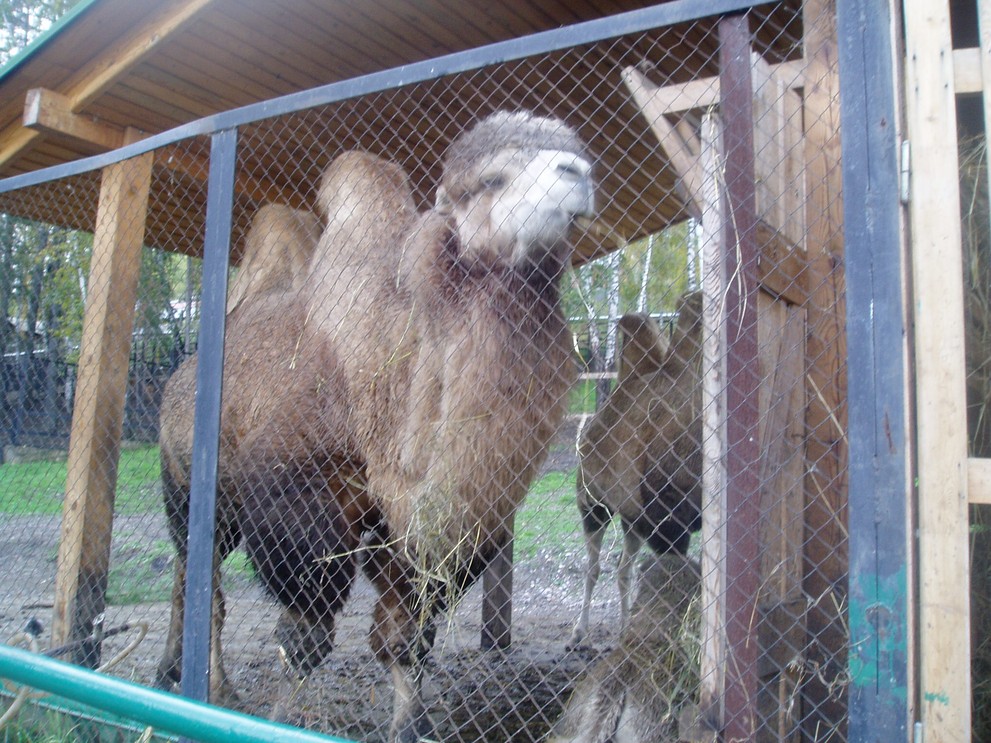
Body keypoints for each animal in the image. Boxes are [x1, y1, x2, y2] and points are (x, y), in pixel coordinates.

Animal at [156, 111, 595, 742]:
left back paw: (175, 672)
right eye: (489, 180)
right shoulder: (293, 498)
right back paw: (211, 686)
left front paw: (410, 725)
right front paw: (273, 716)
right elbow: (305, 639)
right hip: (186, 483)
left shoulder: (417, 526)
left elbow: (404, 639)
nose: (579, 173)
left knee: (185, 573)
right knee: (202, 579)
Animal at [569, 292, 703, 648]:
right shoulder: (669, 525)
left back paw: (624, 627)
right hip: (593, 504)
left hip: (632, 520)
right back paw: (579, 633)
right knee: (594, 567)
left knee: (622, 569)